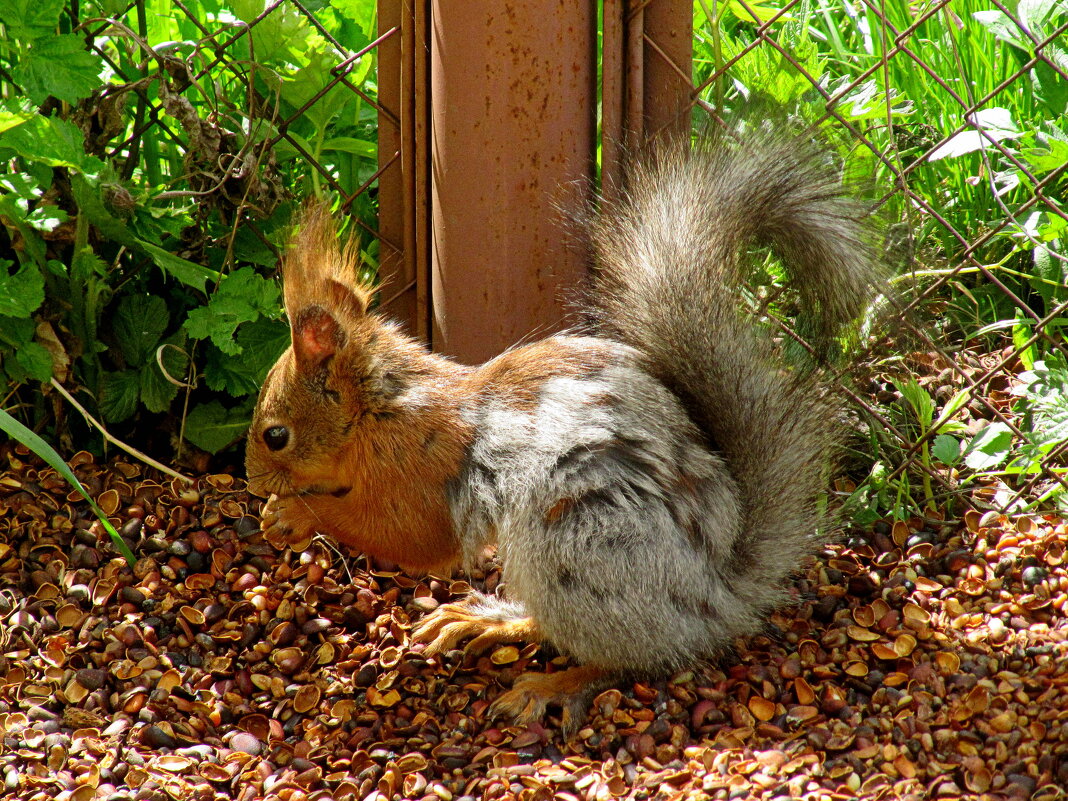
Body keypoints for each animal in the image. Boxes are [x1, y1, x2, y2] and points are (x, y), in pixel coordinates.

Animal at [245, 123, 880, 739]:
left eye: (276, 435)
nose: (250, 483)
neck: (383, 409)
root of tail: (716, 597)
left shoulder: (420, 469)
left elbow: (409, 536)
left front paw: (297, 513)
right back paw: (490, 620)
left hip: (579, 547)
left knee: (631, 658)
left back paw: (553, 685)